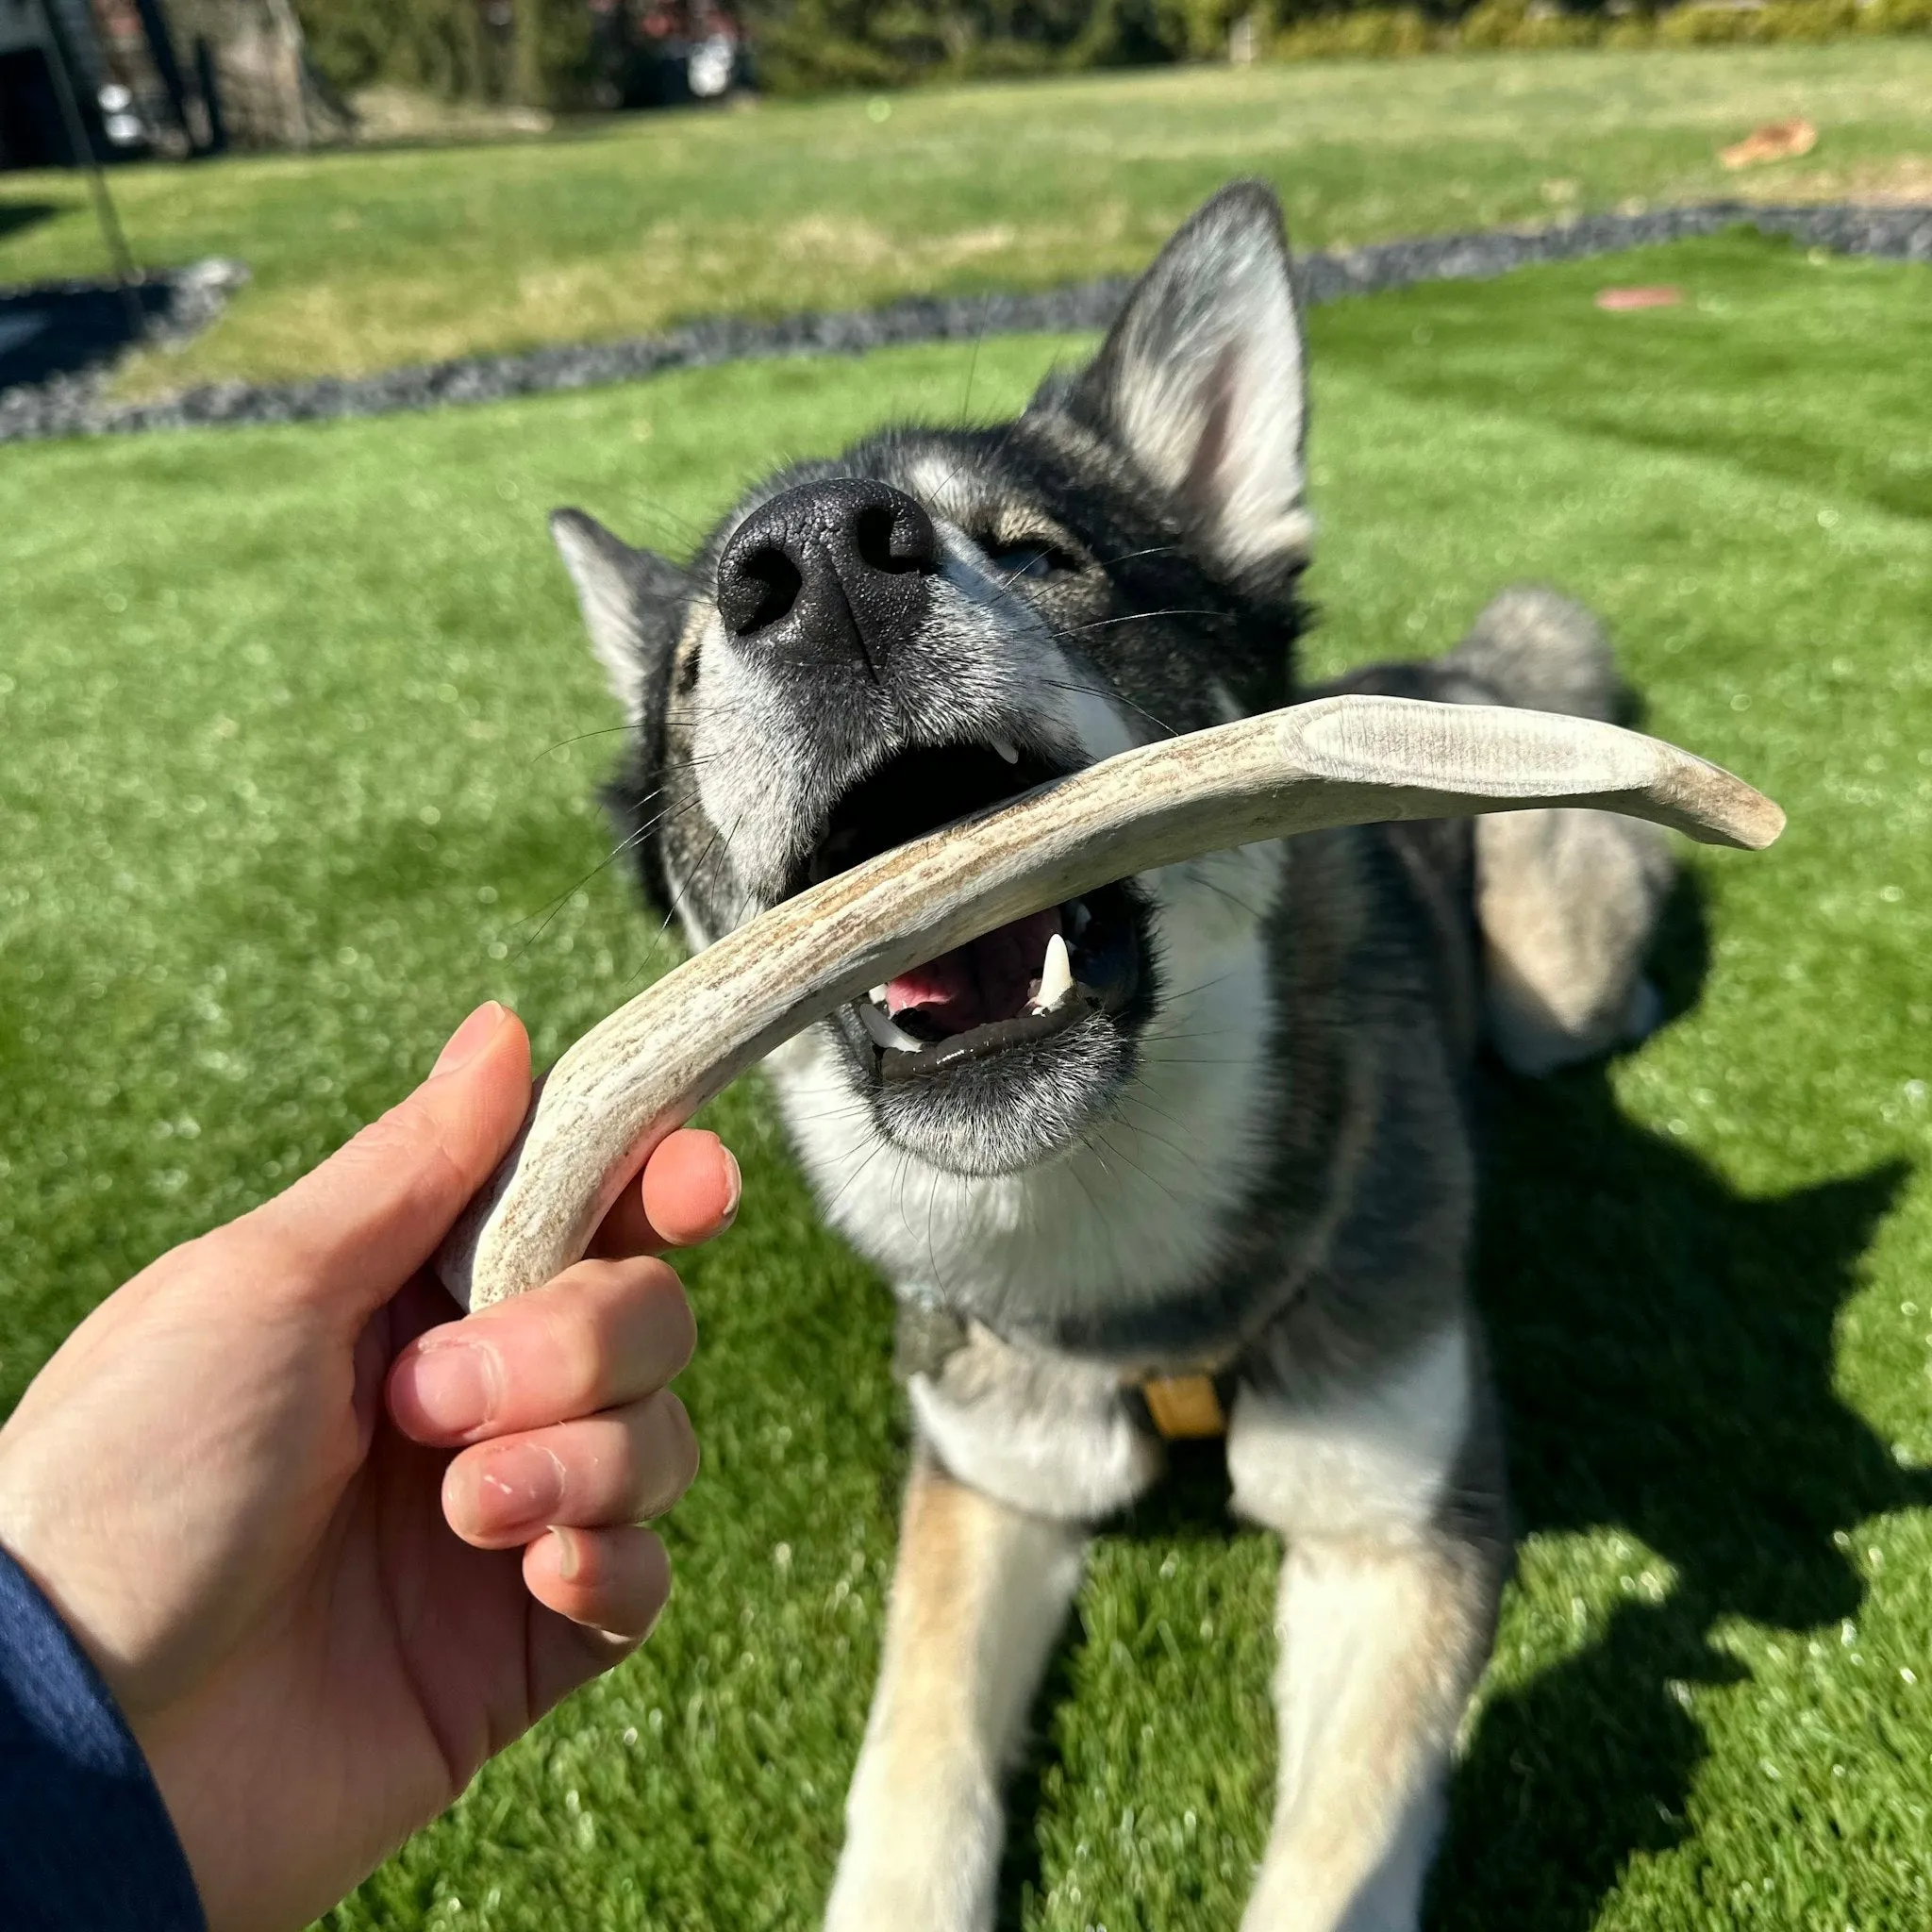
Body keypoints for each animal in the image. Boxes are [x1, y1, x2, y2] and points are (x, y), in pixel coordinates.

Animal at [552, 177, 1669, 1916]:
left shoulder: (1402, 1532)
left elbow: (1337, 1859)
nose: (814, 561)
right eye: (678, 681)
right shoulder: (985, 1477)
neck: (1113, 1252)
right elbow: (915, 1754)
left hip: (1558, 978)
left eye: (1033, 550)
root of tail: (1443, 674)